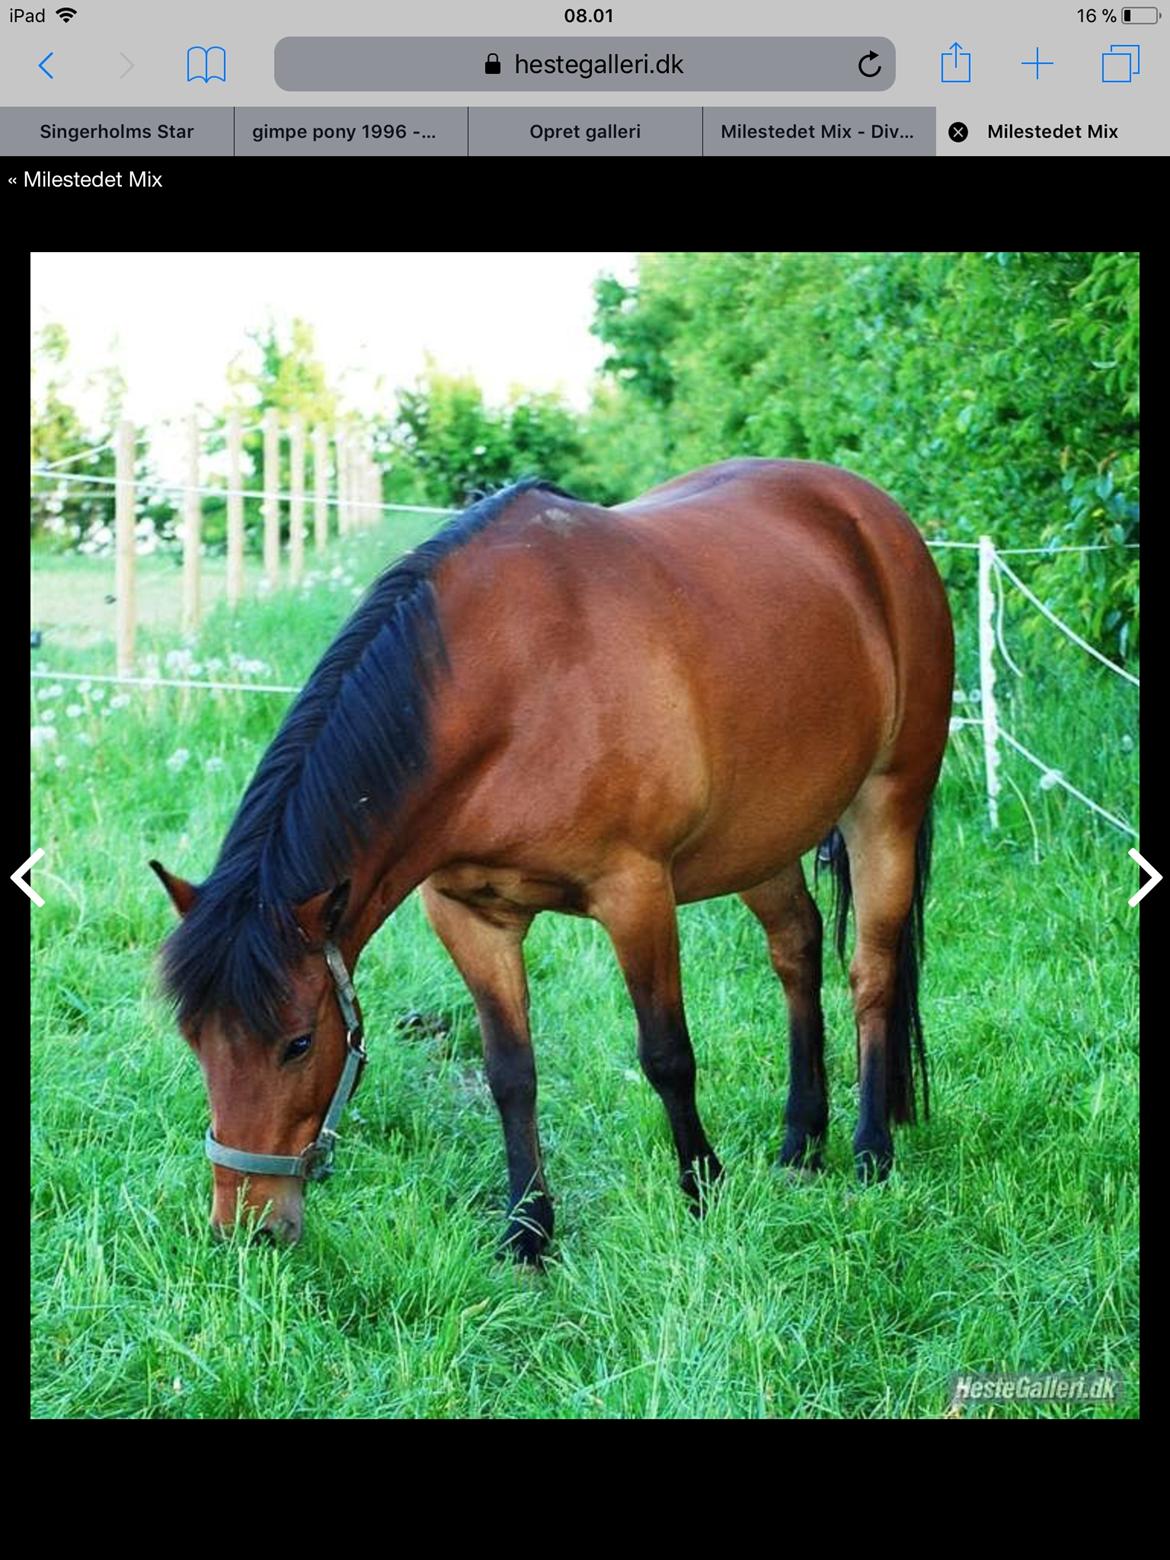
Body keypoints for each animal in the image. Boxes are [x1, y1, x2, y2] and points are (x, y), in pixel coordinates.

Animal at [148, 455, 954, 1260]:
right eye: (194, 1040)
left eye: (299, 1042)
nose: (247, 1228)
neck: (512, 684)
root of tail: (872, 514)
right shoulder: (469, 915)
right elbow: (511, 1071)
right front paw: (528, 1228)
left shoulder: (635, 893)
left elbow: (667, 1054)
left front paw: (703, 1190)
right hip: (760, 839)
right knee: (797, 950)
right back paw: (800, 1144)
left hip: (887, 804)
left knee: (873, 974)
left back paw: (871, 1154)